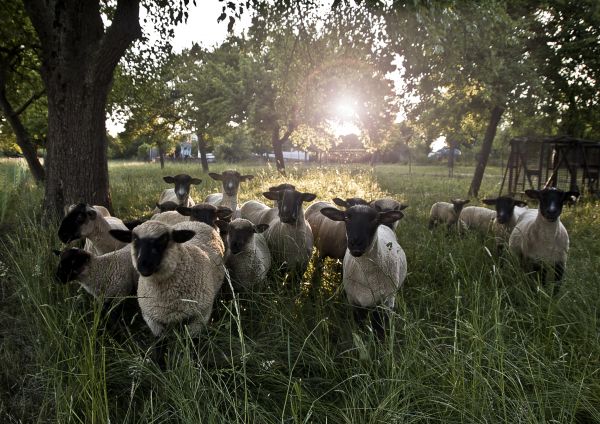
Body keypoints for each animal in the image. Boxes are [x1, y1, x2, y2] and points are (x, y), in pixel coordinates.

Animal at [318, 205, 408, 338]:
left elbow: (379, 329)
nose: (356, 243)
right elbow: (359, 327)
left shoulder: (385, 303)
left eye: (374, 219)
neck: (367, 277)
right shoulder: (354, 303)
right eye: (346, 218)